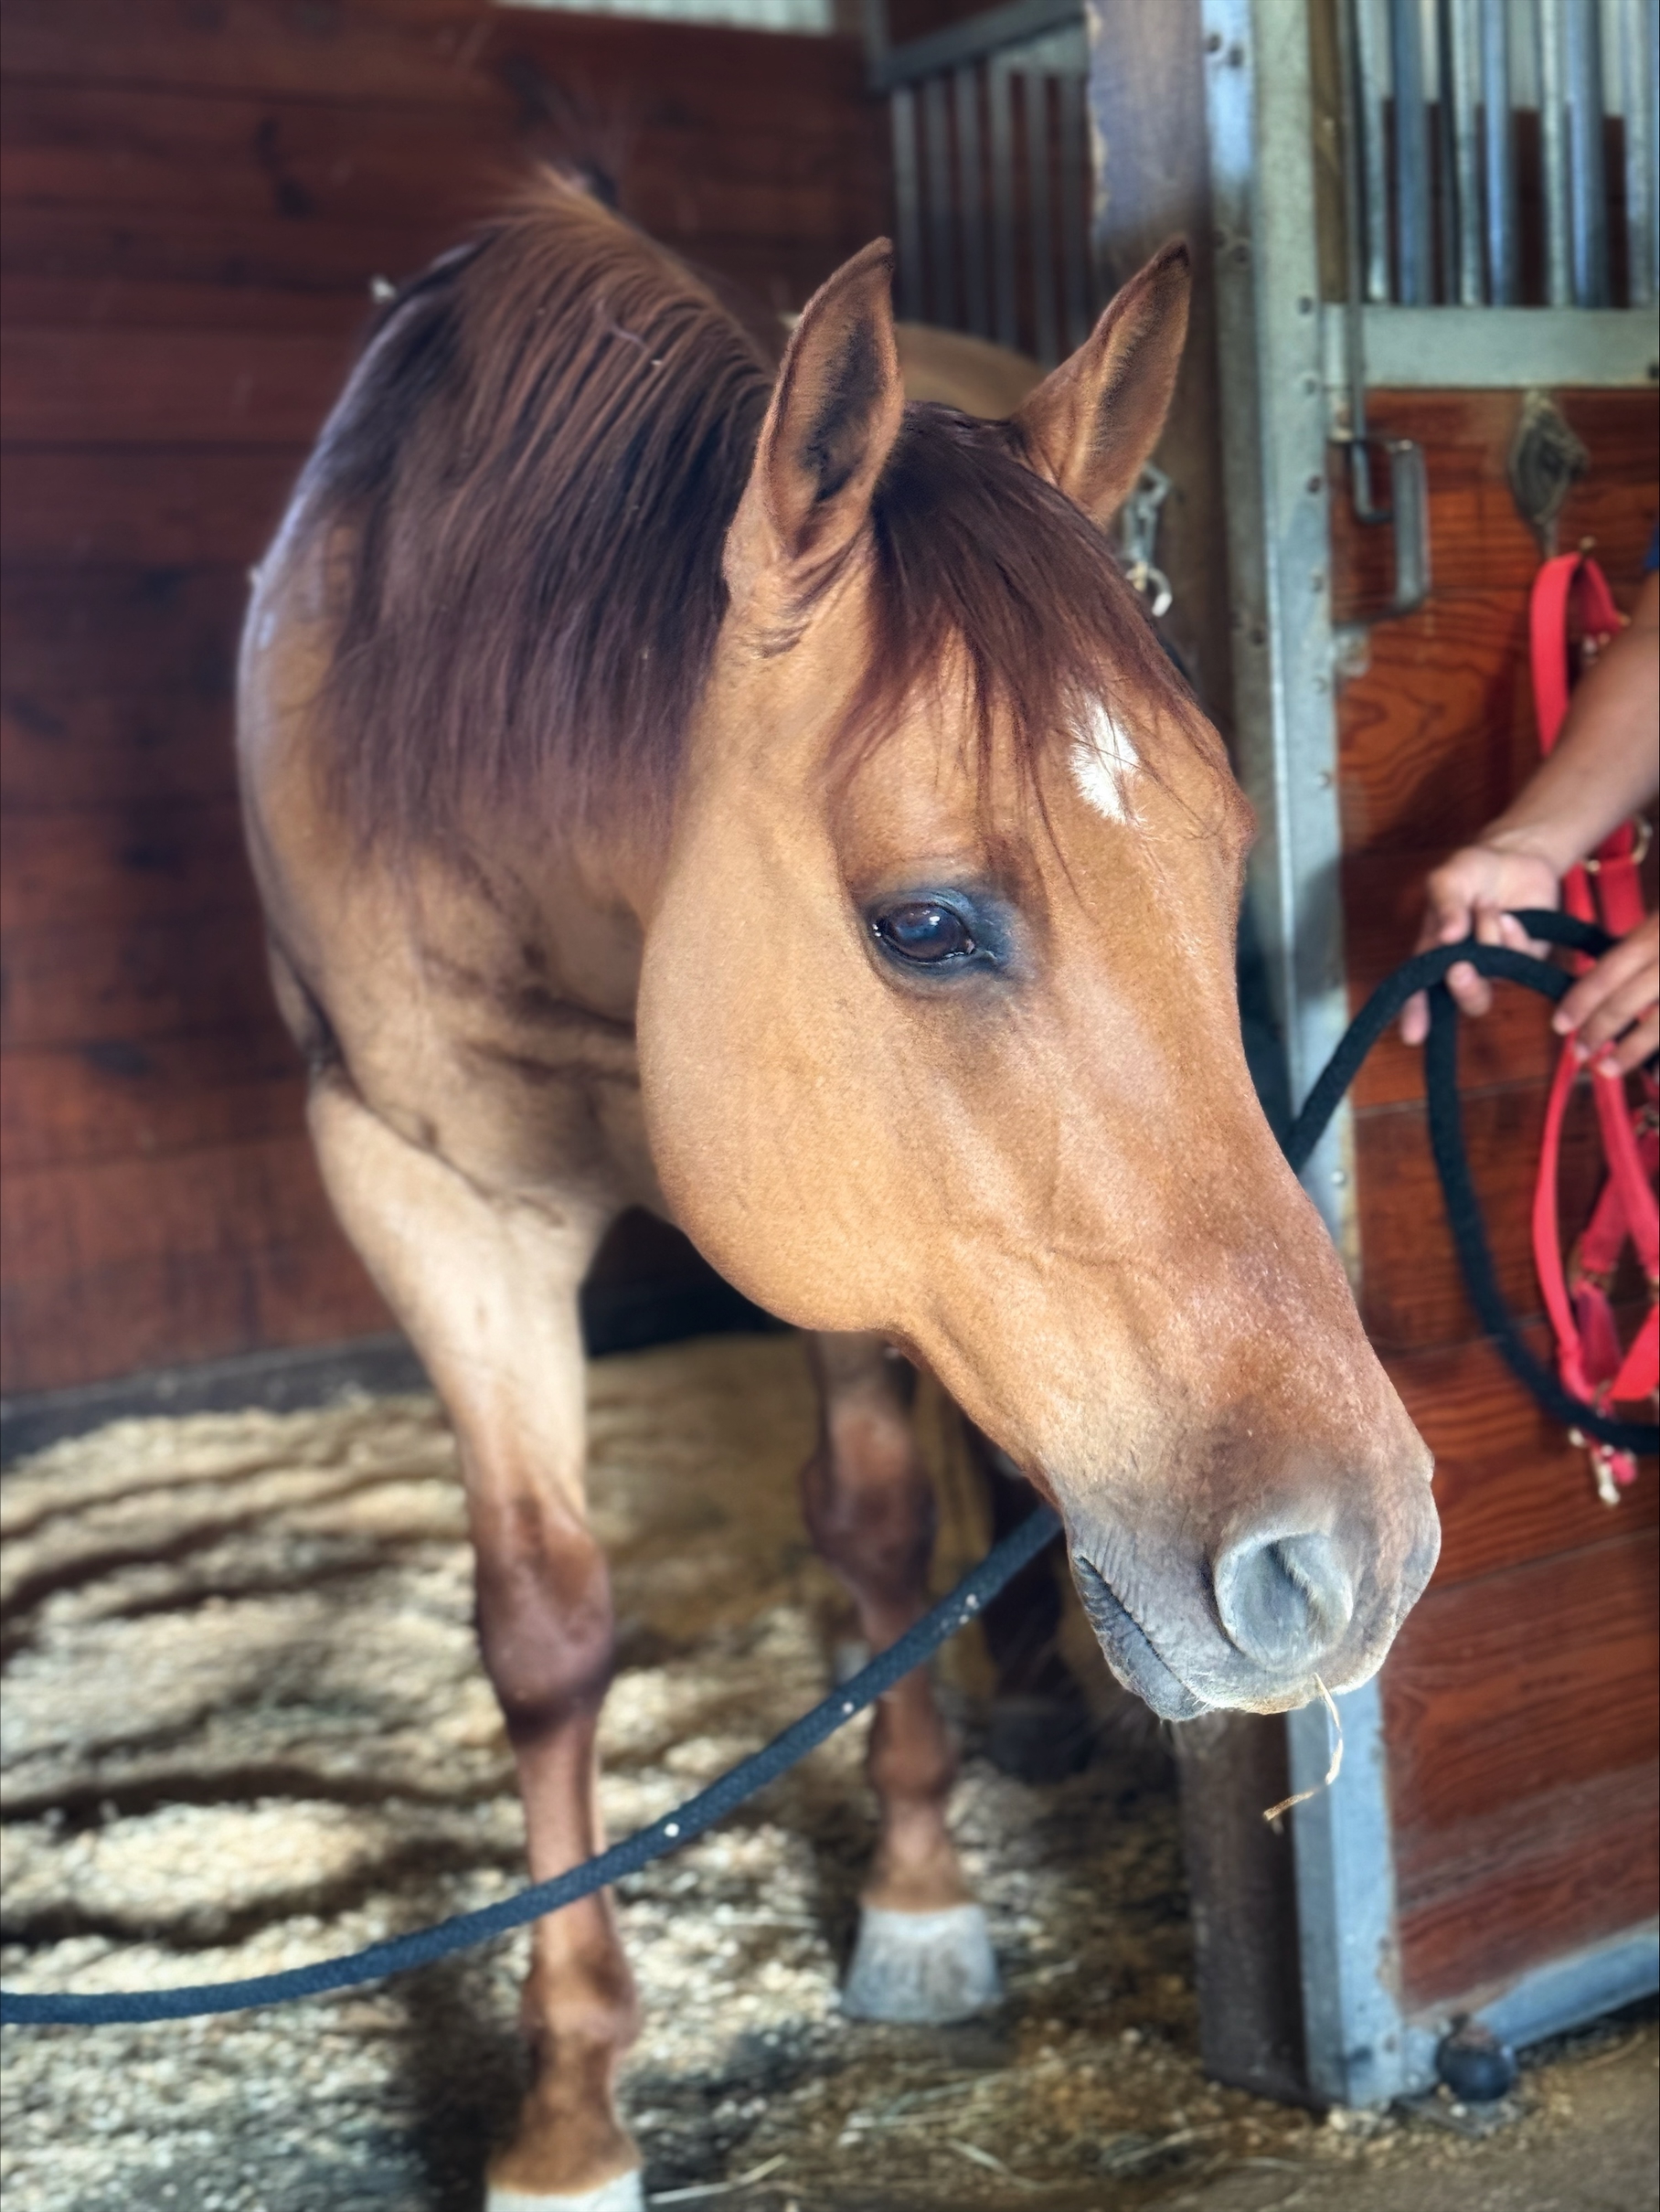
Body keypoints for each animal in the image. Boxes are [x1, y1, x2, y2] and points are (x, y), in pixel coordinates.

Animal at [237, 177, 1438, 2211]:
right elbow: (544, 1629)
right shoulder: (427, 1195)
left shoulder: (834, 1238)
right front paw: (569, 2106)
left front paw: (921, 1899)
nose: (1344, 1562)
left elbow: (872, 1528)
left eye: (1221, 864)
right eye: (925, 925)